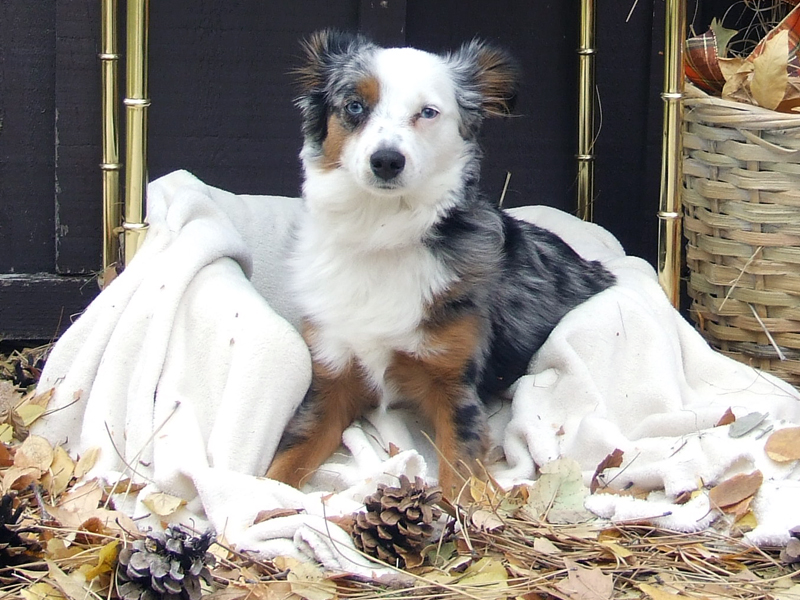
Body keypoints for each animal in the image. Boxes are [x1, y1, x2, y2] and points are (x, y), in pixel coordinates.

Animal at [266, 30, 616, 496]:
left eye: (427, 112)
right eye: (355, 106)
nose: (386, 161)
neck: (381, 231)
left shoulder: (452, 384)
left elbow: (461, 481)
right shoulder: (331, 378)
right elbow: (280, 467)